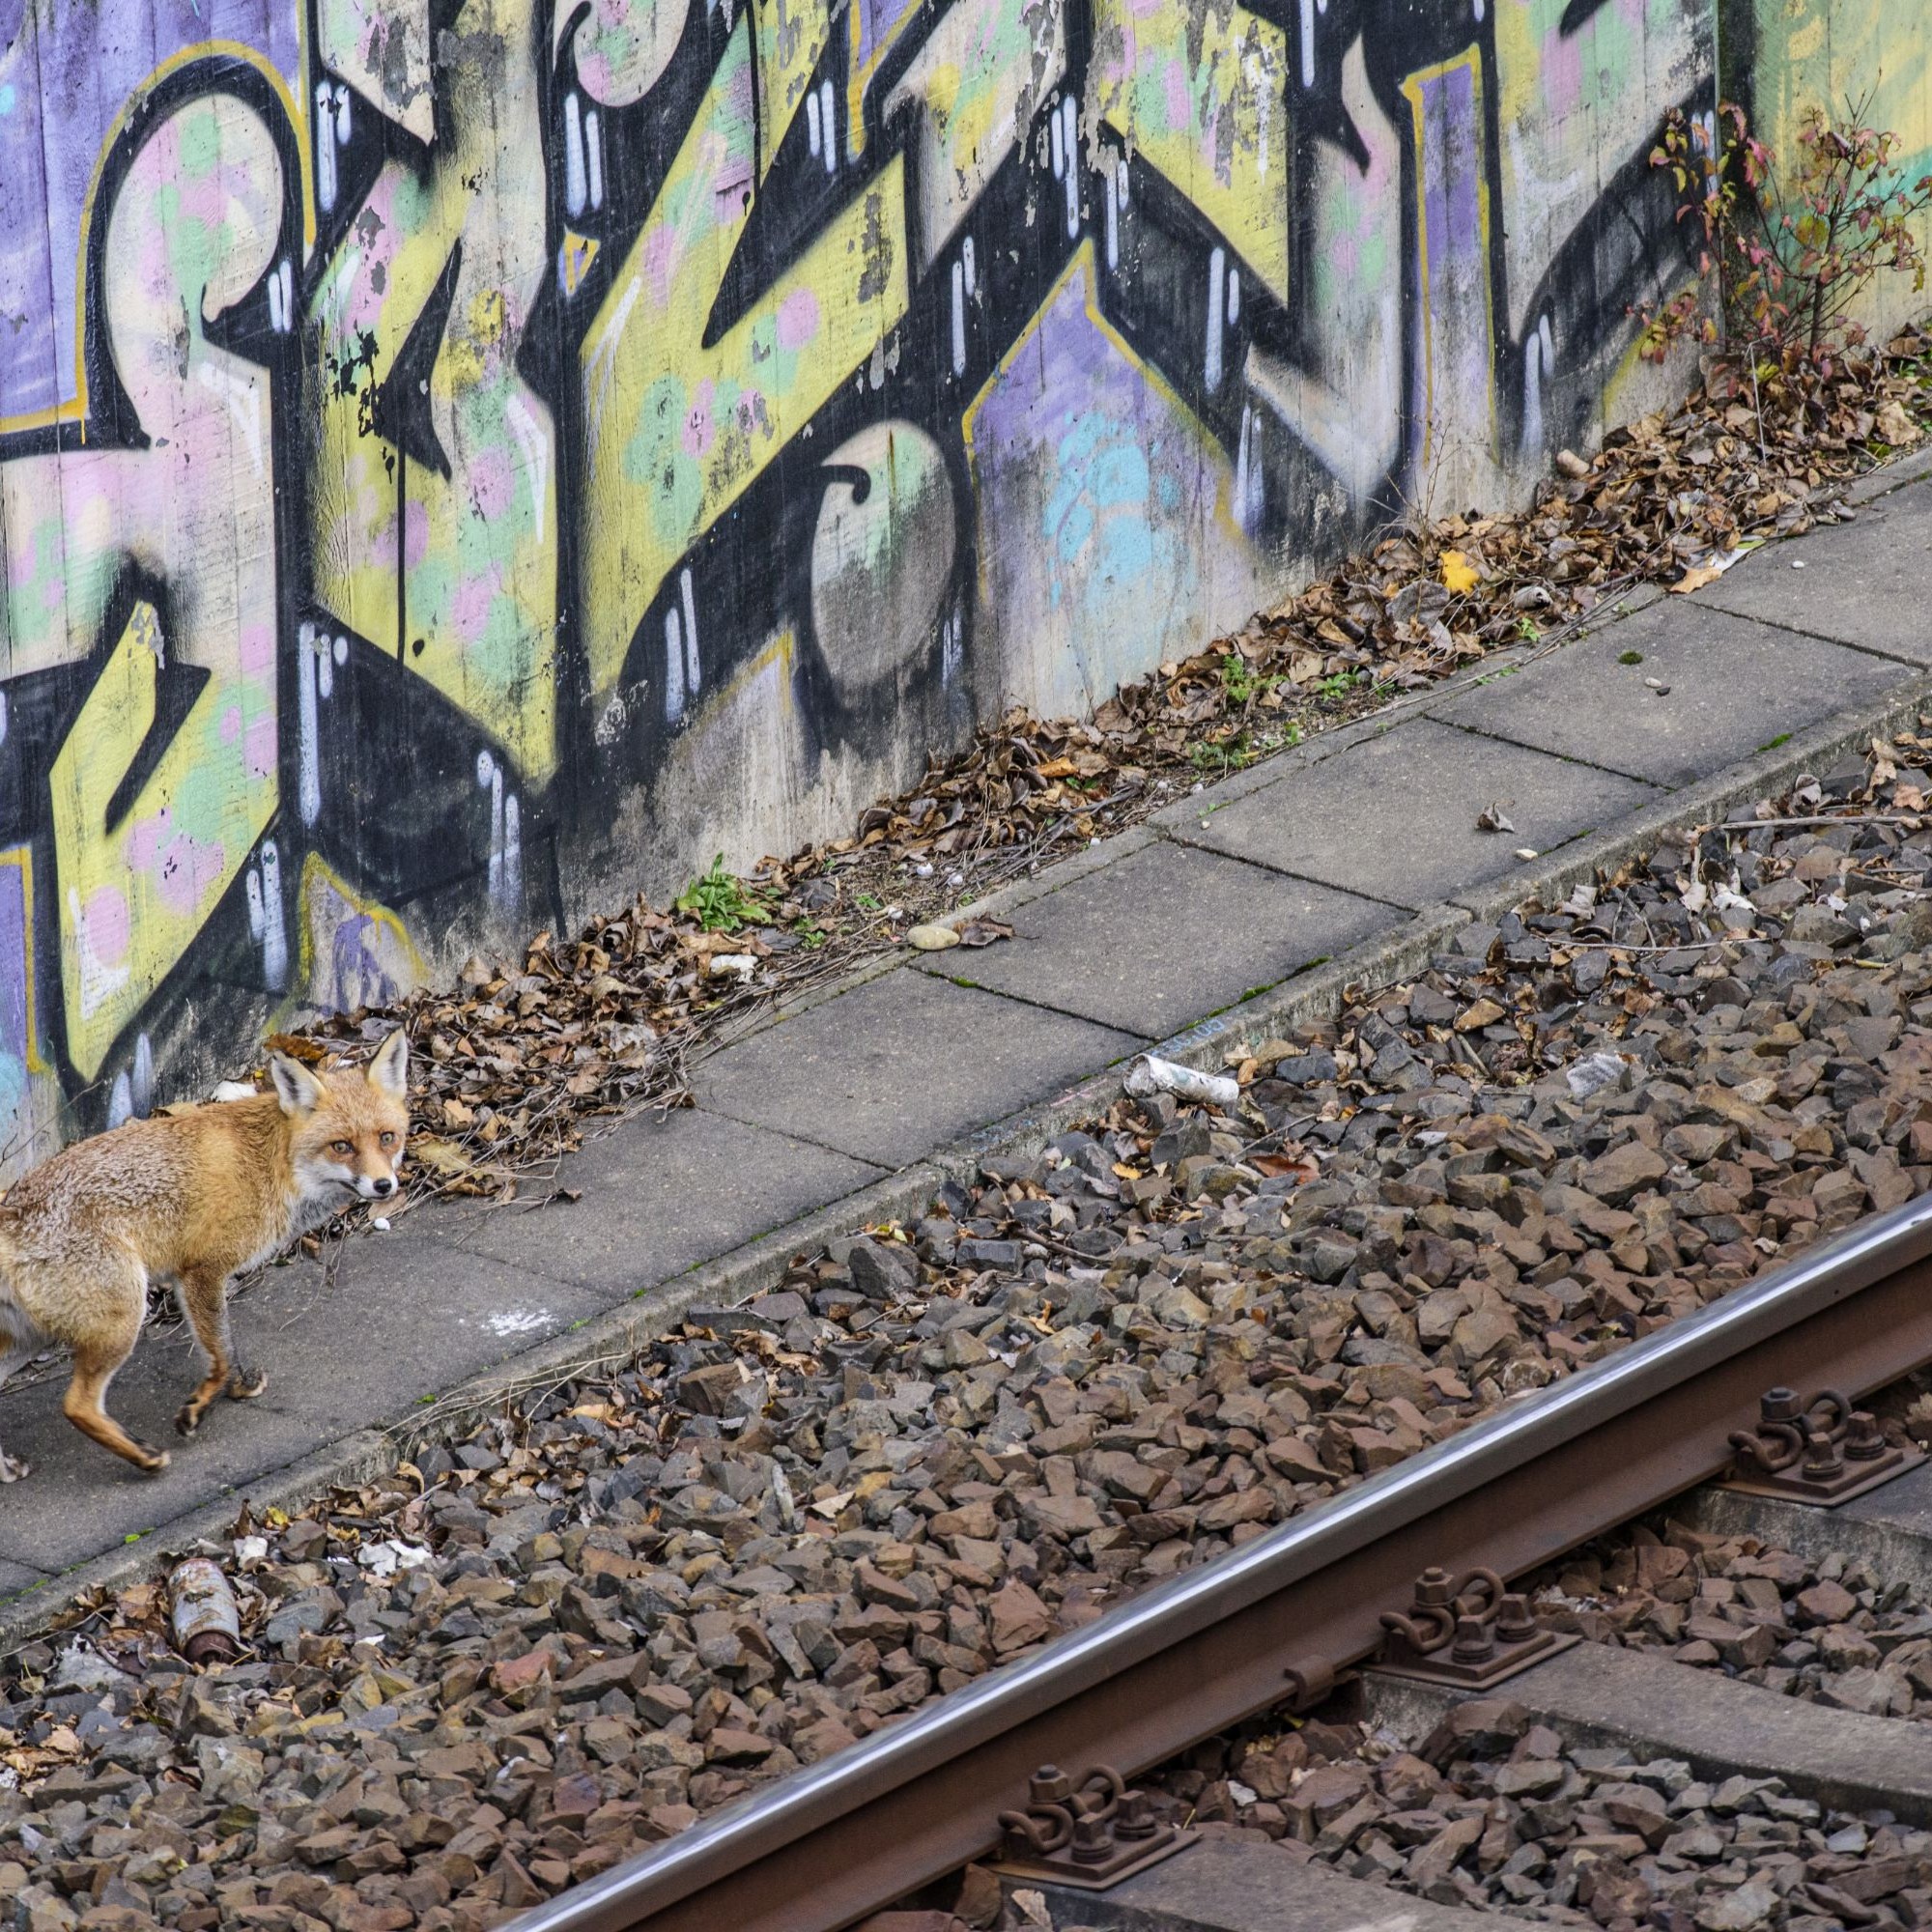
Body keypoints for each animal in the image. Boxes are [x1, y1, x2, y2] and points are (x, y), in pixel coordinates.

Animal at [0, 1036, 408, 1484]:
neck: (272, 1164)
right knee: (77, 1406)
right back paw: (145, 1458)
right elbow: (222, 1352)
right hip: (121, 1318)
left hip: (27, 1340)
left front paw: (237, 1388)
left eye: (387, 1137)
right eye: (342, 1146)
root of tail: (12, 1214)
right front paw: (205, 1404)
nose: (384, 1185)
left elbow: (227, 1348)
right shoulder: (202, 1270)